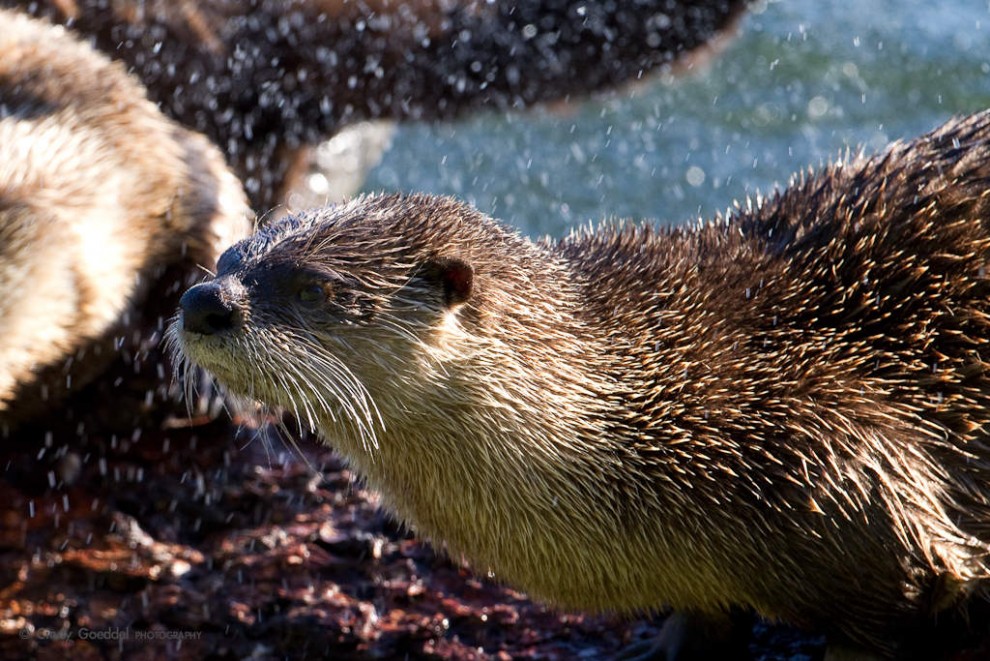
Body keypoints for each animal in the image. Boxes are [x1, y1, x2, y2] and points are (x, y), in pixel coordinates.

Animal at [172, 111, 990, 656]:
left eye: (314, 288)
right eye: (231, 256)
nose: (203, 301)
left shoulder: (843, 468)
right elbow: (705, 614)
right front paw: (663, 648)